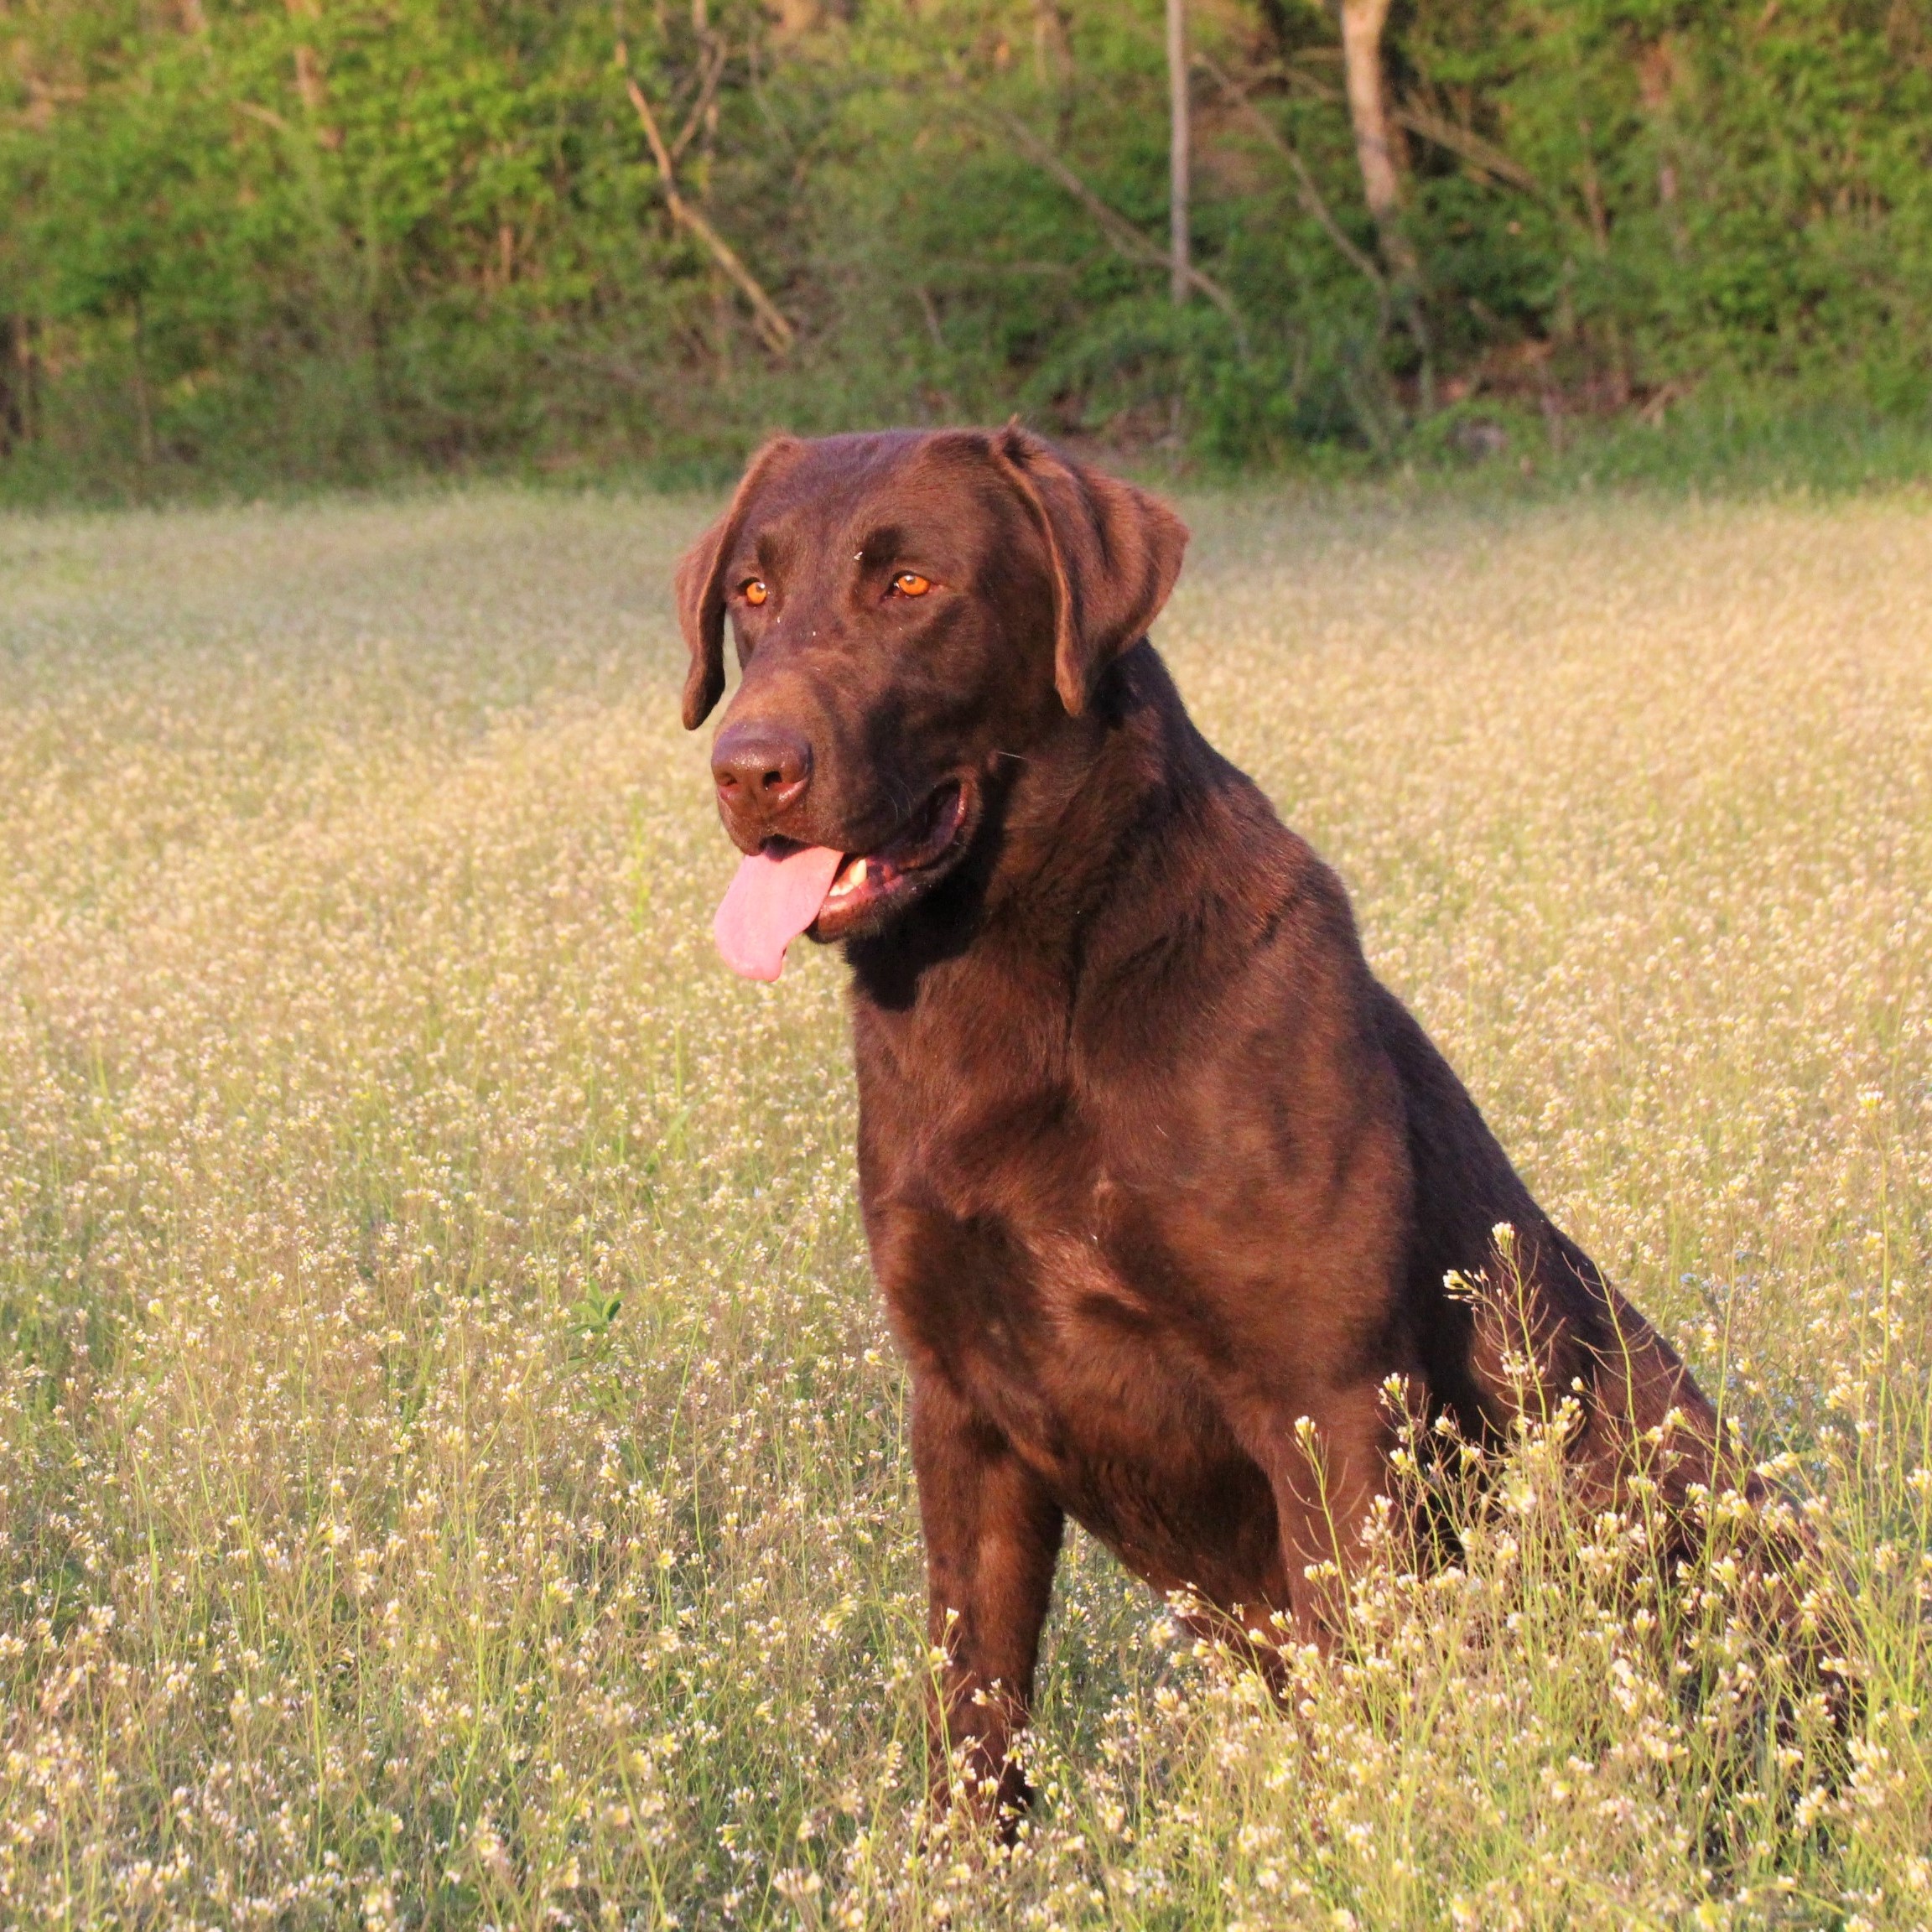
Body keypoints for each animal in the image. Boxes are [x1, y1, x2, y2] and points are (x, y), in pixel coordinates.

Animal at [680, 423, 1738, 1808]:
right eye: (753, 594)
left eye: (911, 586)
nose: (747, 766)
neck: (1015, 987)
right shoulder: (960, 1410)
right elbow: (976, 1721)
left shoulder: (1327, 1398)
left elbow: (1358, 1683)